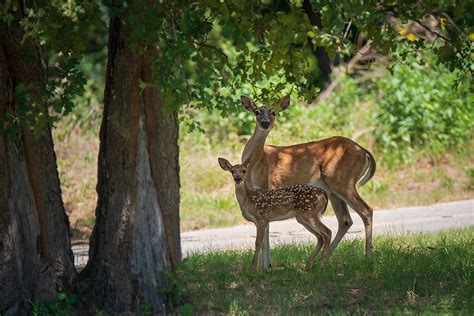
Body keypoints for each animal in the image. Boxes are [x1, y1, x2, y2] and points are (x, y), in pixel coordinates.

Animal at [243, 95, 376, 268]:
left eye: (273, 112)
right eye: (257, 111)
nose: (265, 123)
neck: (257, 163)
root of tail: (364, 151)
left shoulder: (269, 187)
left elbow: (266, 228)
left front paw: (266, 266)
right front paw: (267, 266)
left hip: (343, 181)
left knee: (366, 210)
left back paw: (368, 258)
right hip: (332, 189)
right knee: (345, 220)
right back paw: (322, 260)